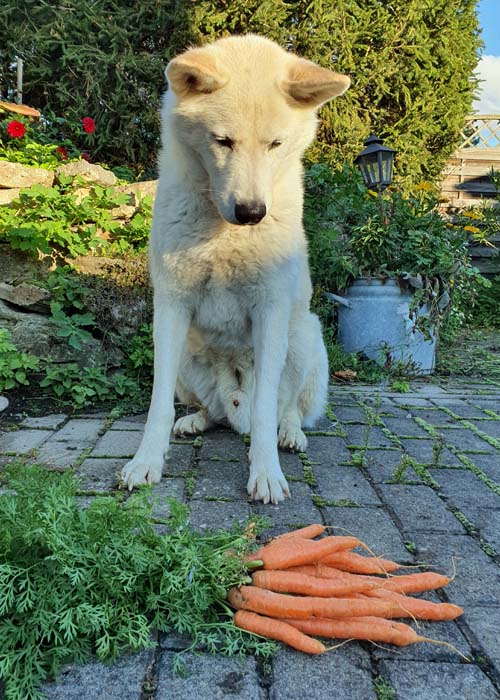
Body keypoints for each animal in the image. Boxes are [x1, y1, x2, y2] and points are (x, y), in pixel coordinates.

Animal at [121, 34, 350, 504]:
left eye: (276, 144)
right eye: (222, 141)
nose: (251, 213)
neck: (225, 232)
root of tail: (233, 396)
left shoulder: (271, 311)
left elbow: (265, 411)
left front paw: (265, 473)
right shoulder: (170, 307)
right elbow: (157, 404)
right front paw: (147, 461)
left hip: (304, 337)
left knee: (287, 408)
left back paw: (290, 434)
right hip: (187, 359)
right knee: (213, 411)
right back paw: (196, 420)